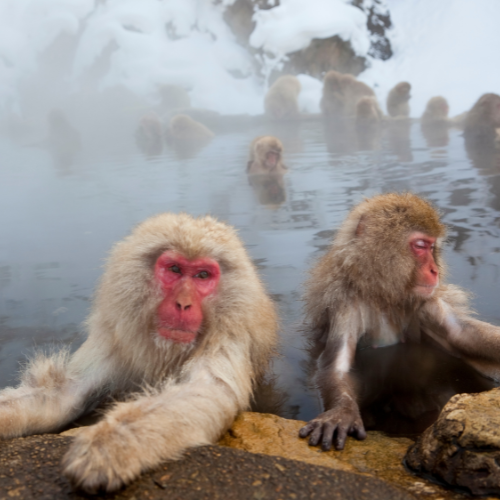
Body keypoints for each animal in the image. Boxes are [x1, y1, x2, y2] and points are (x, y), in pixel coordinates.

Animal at [0, 212, 278, 492]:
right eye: (174, 269)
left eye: (202, 275)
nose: (183, 304)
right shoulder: (116, 341)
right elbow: (66, 391)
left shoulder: (229, 333)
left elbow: (207, 389)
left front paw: (111, 444)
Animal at [298, 193, 500, 452]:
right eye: (420, 246)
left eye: (432, 247)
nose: (434, 270)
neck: (383, 294)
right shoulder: (344, 302)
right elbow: (337, 365)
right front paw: (341, 411)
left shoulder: (423, 299)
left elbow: (459, 333)